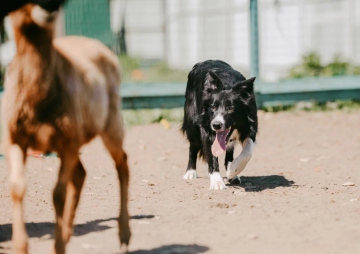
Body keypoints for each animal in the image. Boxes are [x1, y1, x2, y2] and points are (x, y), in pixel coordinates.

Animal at [181, 60, 258, 190]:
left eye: (231, 108)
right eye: (213, 107)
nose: (216, 125)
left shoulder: (250, 125)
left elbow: (248, 151)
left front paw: (233, 169)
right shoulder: (206, 128)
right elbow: (212, 155)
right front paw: (217, 181)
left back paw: (232, 174)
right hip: (192, 123)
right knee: (193, 145)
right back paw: (190, 172)